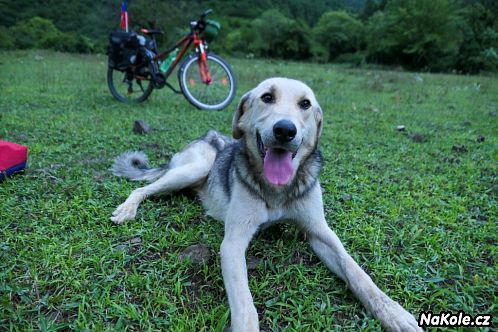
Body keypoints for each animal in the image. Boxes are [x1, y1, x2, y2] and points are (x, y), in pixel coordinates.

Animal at [110, 78, 420, 332]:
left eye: (305, 104)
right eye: (267, 97)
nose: (284, 130)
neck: (277, 190)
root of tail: (209, 135)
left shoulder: (320, 232)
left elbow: (357, 272)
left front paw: (393, 313)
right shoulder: (233, 243)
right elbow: (244, 304)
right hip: (195, 167)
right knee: (142, 188)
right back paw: (127, 209)